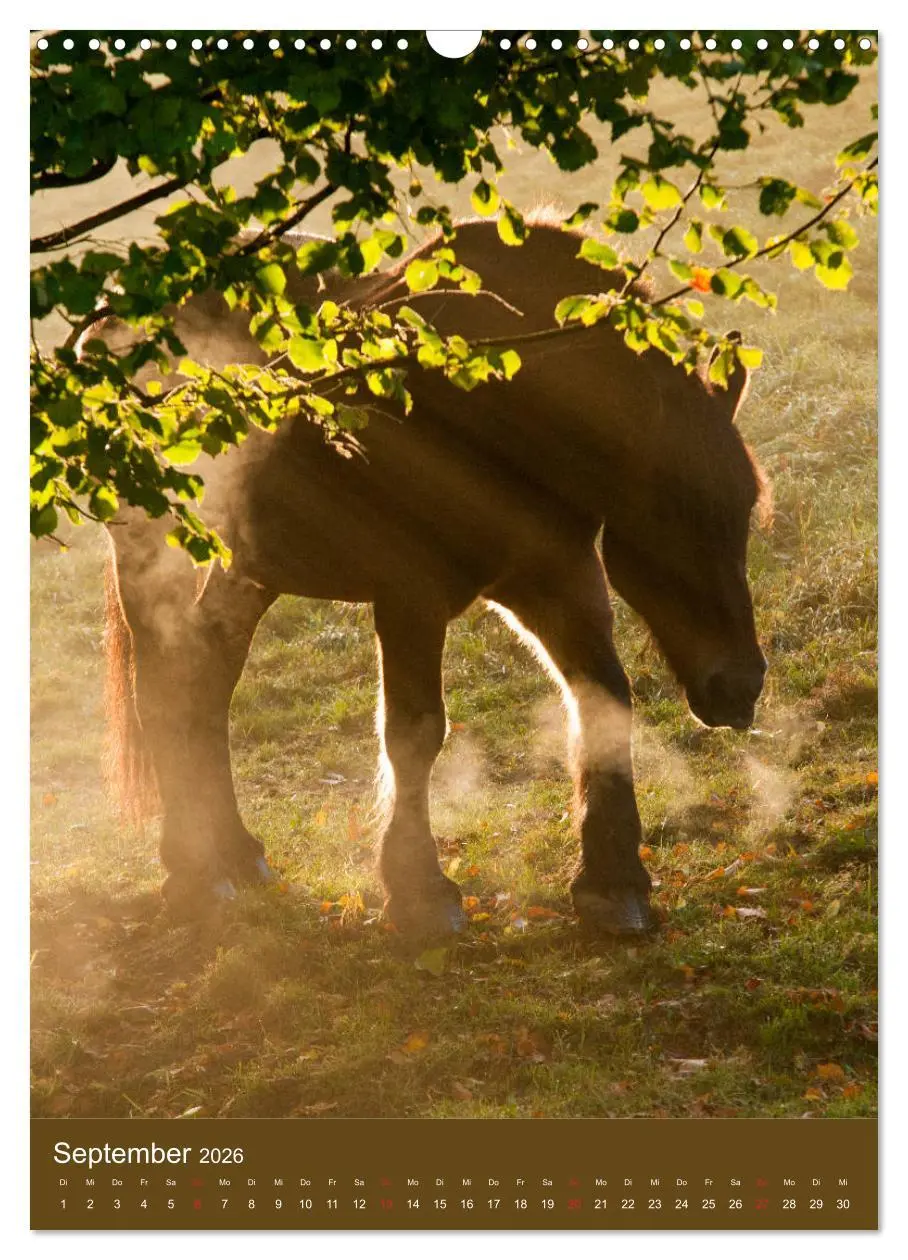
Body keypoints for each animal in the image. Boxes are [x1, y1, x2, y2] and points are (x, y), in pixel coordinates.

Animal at [100, 214, 770, 938]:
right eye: (671, 508)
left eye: (744, 507)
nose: (742, 686)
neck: (509, 404)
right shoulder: (409, 598)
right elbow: (415, 734)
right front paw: (419, 891)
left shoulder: (557, 581)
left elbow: (603, 705)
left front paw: (611, 881)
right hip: (154, 564)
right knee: (164, 693)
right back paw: (192, 870)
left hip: (245, 572)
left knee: (206, 687)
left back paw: (234, 852)